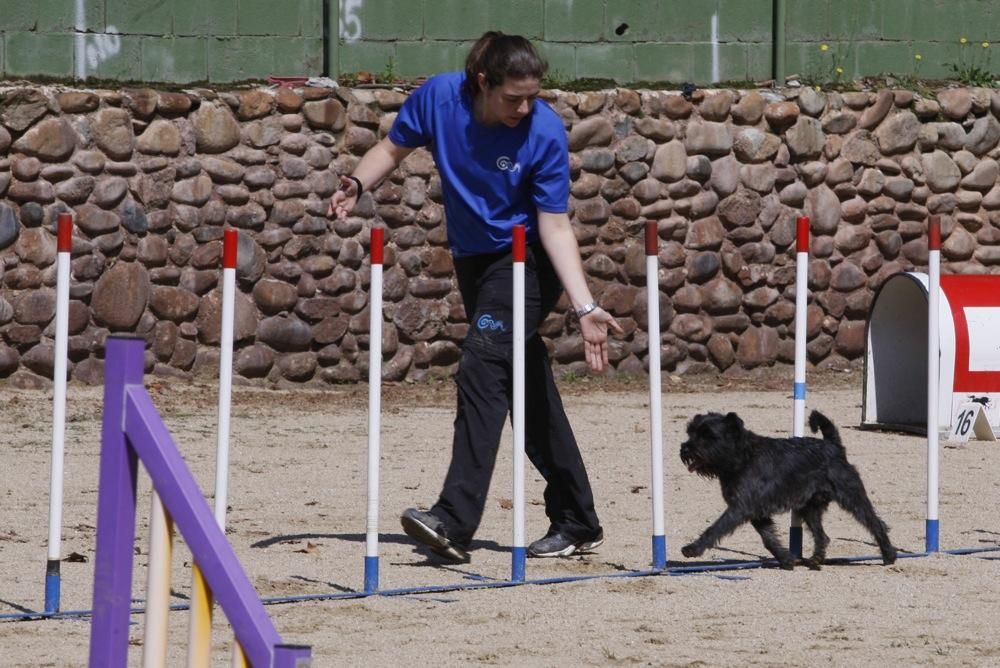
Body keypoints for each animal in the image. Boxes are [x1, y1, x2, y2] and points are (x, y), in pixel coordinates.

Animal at [680, 410, 900, 572]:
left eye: (709, 436)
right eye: (691, 432)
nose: (686, 449)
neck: (742, 456)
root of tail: (833, 445)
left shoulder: (740, 508)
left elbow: (715, 528)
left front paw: (693, 548)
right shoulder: (756, 512)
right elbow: (769, 539)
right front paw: (786, 559)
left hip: (851, 496)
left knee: (875, 523)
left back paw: (889, 554)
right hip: (809, 508)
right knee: (822, 536)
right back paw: (815, 560)